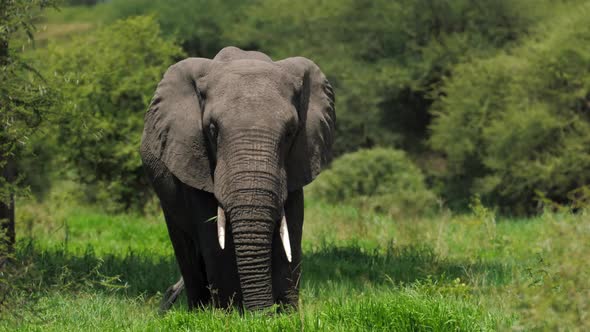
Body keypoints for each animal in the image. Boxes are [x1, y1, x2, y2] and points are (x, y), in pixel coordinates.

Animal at [138, 46, 332, 312]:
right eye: (212, 130)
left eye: (291, 132)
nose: (265, 312)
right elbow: (213, 239)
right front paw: (229, 313)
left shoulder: (297, 162)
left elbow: (290, 230)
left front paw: (287, 313)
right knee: (185, 247)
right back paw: (199, 309)